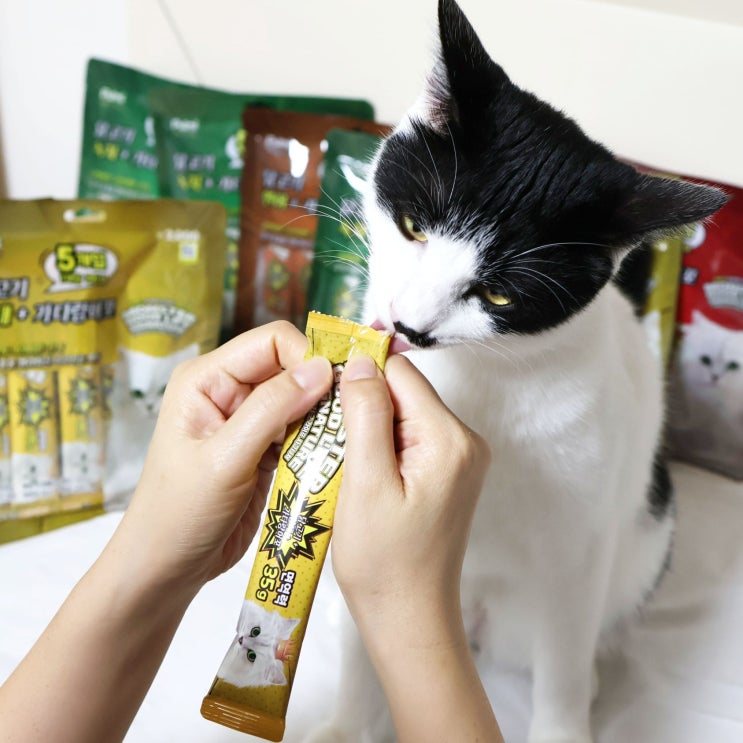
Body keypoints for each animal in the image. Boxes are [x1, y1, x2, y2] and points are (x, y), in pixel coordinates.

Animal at [306, 1, 728, 742]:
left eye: (500, 296)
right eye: (413, 225)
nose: (410, 326)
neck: (473, 382)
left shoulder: (576, 547)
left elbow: (561, 666)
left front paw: (563, 724)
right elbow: (365, 639)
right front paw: (347, 722)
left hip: (640, 539)